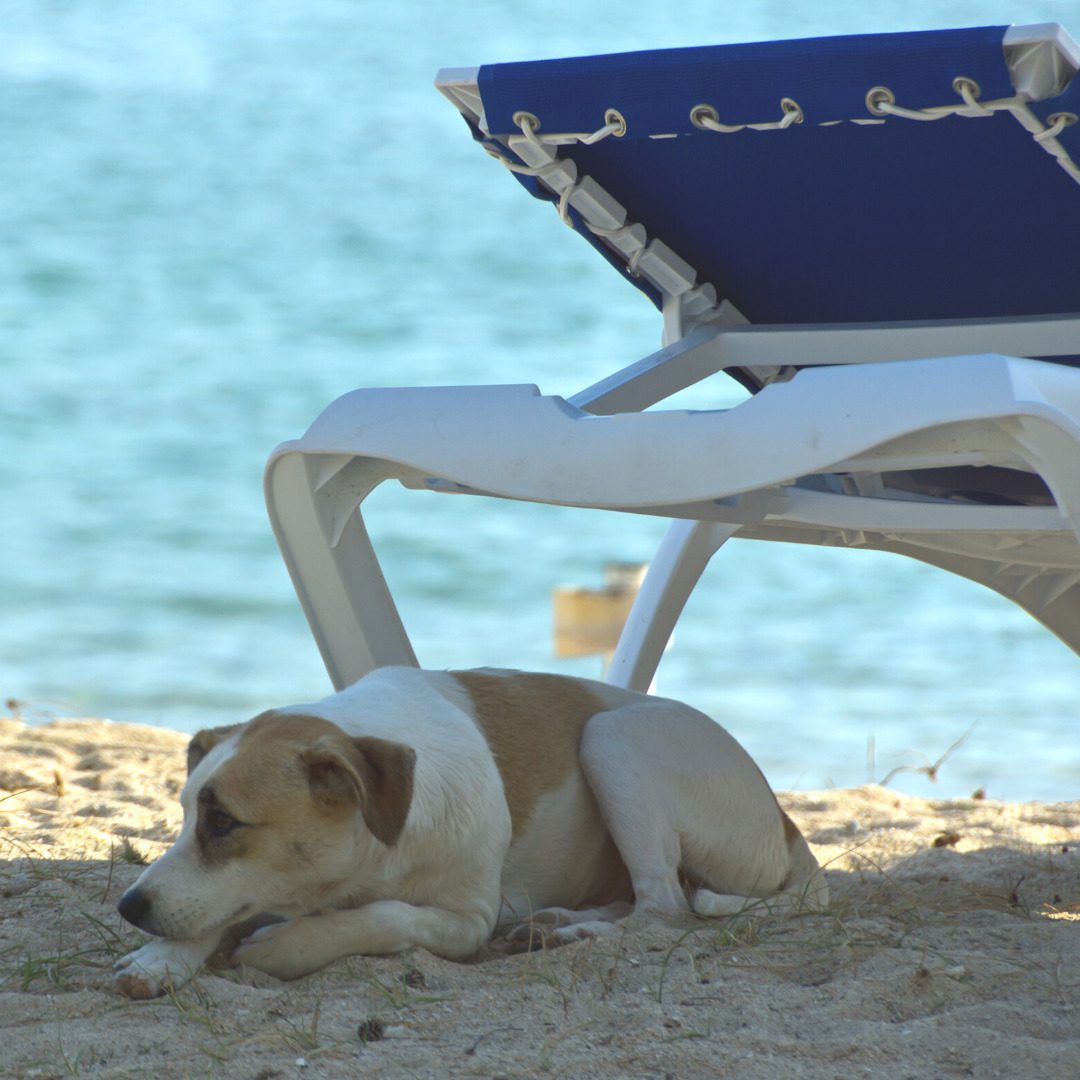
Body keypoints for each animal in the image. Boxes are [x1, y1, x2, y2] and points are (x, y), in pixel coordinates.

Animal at [111, 660, 825, 997]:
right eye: (184, 815)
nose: (127, 907)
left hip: (614, 738)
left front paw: (288, 947)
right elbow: (207, 915)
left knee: (664, 907)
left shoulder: (466, 920)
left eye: (225, 822)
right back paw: (556, 923)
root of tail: (787, 821)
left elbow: (385, 917)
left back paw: (577, 933)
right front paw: (160, 960)